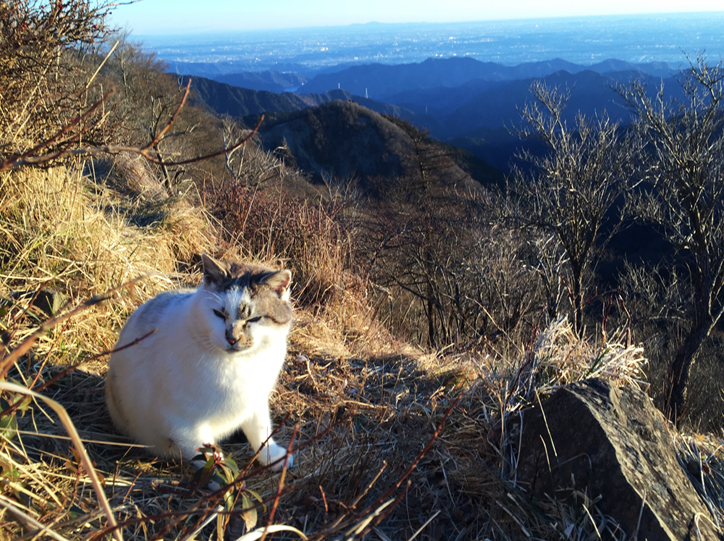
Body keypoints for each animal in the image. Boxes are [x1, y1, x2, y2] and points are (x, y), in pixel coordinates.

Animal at [104, 253, 294, 468]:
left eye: (254, 319)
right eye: (218, 314)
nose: (232, 338)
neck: (239, 364)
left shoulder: (255, 402)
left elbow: (261, 433)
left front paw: (273, 457)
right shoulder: (184, 424)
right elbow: (211, 461)